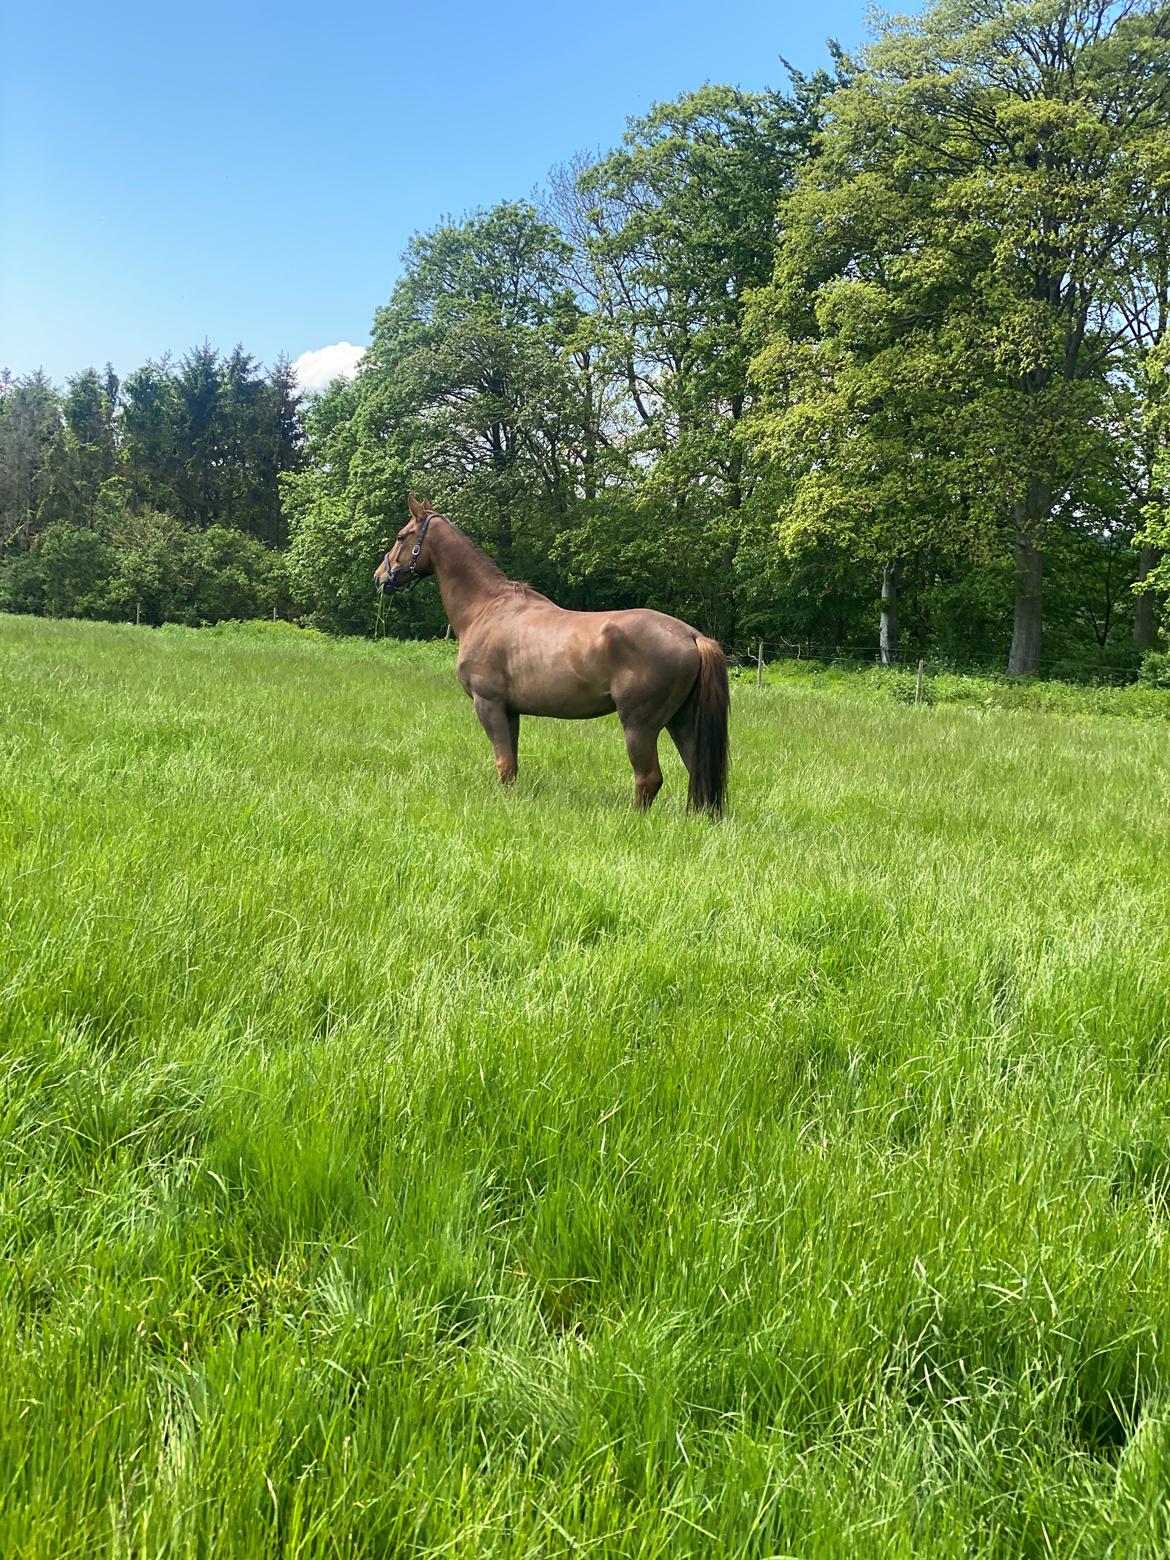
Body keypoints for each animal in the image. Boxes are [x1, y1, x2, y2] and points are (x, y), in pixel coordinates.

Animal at [375, 499, 730, 817]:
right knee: (697, 771)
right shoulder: (510, 711)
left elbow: (503, 764)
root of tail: (691, 635)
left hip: (639, 725)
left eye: (402, 536)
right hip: (681, 719)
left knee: (649, 779)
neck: (486, 608)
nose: (380, 577)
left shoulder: (488, 704)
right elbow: (512, 765)